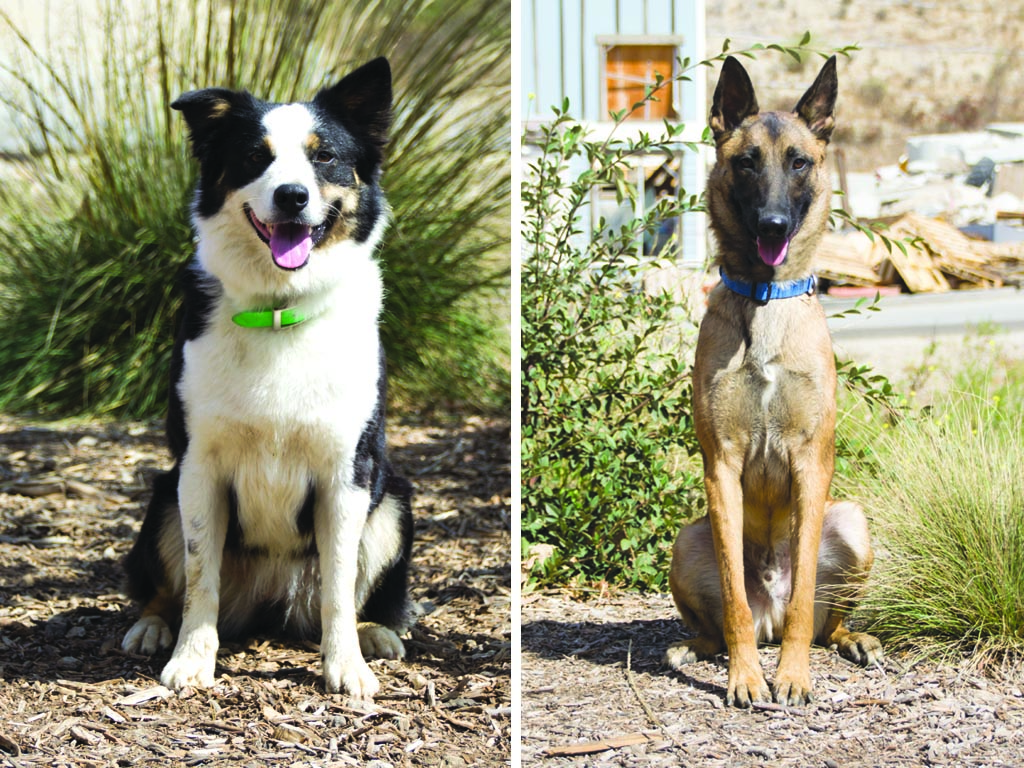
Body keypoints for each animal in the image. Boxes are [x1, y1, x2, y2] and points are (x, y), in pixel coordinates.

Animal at [122, 57, 415, 700]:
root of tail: (272, 602)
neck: (281, 310)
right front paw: (192, 660)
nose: (292, 196)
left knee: (358, 592)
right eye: (256, 157)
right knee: (164, 587)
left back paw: (376, 633)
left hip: (393, 503)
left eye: (324, 156)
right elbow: (199, 576)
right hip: (162, 495)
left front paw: (345, 667)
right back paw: (152, 626)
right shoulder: (198, 467)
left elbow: (339, 583)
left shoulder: (348, 471)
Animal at [667, 55, 884, 708]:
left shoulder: (812, 464)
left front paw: (791, 676)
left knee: (820, 623)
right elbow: (733, 599)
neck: (764, 300)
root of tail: (773, 608)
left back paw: (852, 640)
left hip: (851, 521)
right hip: (686, 540)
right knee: (724, 618)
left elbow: (808, 584)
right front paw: (746, 678)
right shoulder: (721, 466)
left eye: (798, 162)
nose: (772, 223)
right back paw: (697, 648)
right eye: (745, 162)